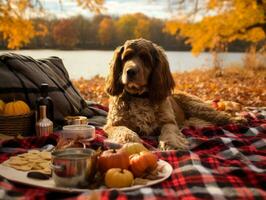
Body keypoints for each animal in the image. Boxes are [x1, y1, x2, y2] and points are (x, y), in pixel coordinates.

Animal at [105, 38, 240, 149]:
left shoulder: (169, 121)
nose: (130, 71)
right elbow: (123, 130)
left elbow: (168, 130)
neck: (139, 96)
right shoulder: (112, 124)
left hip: (198, 108)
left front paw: (171, 143)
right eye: (126, 57)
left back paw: (239, 120)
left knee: (223, 116)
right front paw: (130, 141)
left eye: (145, 58)